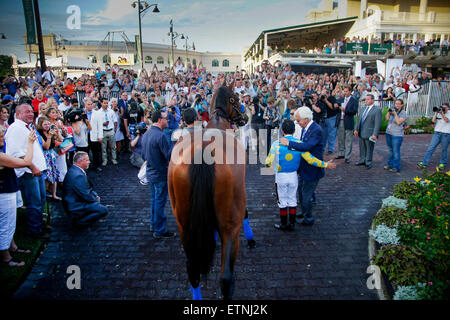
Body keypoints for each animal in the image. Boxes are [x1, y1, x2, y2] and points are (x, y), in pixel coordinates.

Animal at [168, 82, 248, 300]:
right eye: (237, 97)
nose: (245, 117)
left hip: (183, 223)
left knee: (193, 271)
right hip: (230, 226)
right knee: (226, 278)